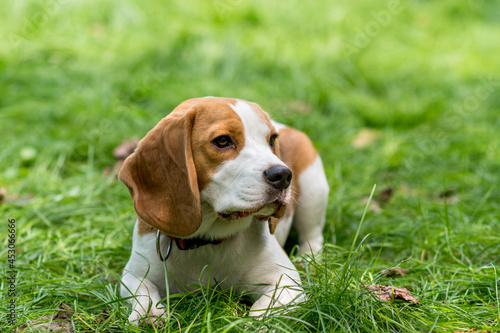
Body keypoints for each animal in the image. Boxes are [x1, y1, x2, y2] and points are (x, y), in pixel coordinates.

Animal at [119, 95, 330, 322]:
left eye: (272, 140)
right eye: (222, 141)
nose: (283, 174)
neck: (207, 240)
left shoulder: (286, 282)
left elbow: (261, 313)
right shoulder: (133, 274)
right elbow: (144, 292)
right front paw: (148, 315)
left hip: (313, 192)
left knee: (312, 236)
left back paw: (308, 259)